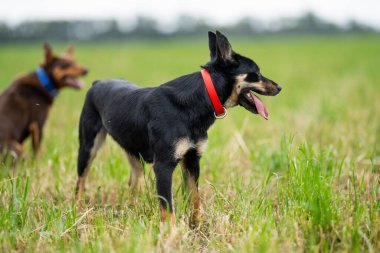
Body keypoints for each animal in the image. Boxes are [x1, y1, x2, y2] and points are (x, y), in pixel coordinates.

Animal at [75, 31, 280, 225]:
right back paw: (78, 210)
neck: (198, 99)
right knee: (80, 182)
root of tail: (97, 83)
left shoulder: (192, 161)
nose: (280, 87)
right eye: (256, 73)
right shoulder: (163, 166)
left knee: (132, 183)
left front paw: (196, 226)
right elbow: (168, 209)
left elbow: (195, 199)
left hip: (135, 158)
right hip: (88, 147)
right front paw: (171, 233)